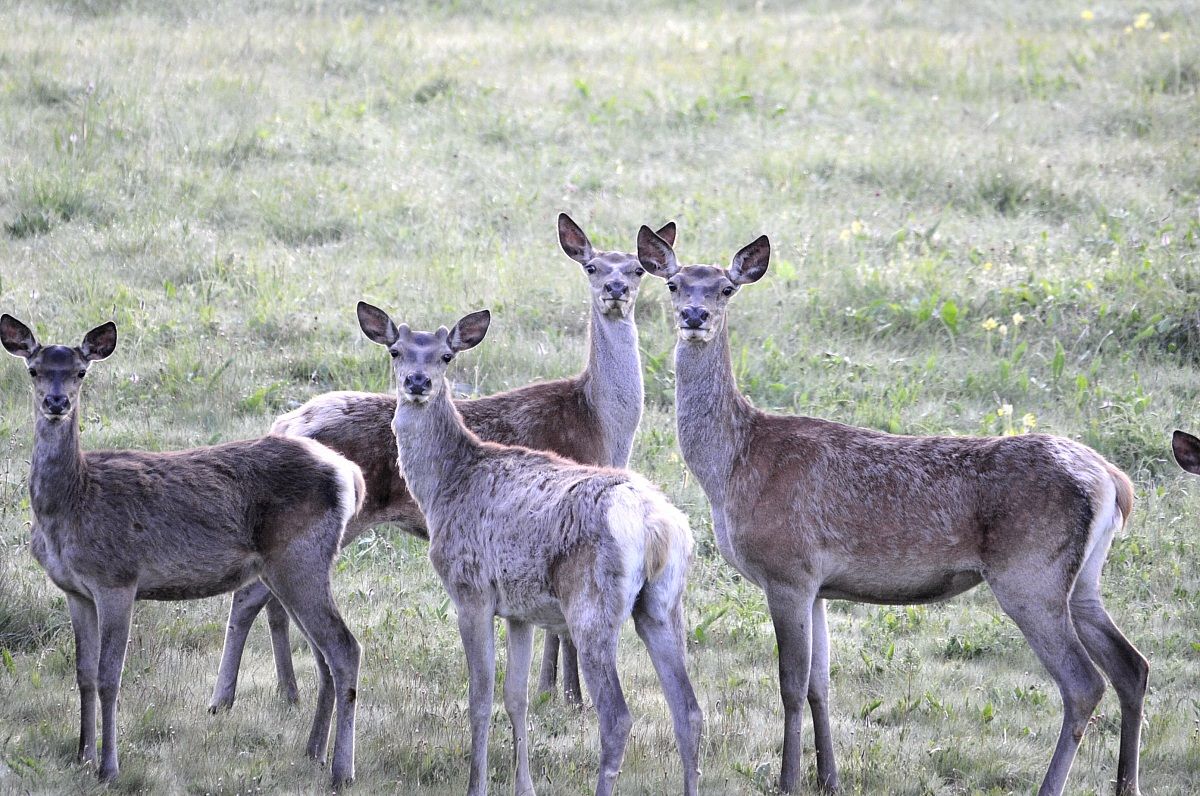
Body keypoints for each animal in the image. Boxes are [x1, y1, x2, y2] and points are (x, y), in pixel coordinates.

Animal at [0, 314, 364, 788]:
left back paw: (342, 771)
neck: (70, 503)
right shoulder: (75, 590)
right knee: (323, 656)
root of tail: (348, 473)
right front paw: (81, 756)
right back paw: (313, 753)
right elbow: (82, 674)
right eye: (34, 370)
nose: (56, 402)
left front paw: (108, 768)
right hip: (290, 568)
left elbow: (109, 676)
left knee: (344, 648)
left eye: (80, 372)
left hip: (299, 558)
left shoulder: (117, 578)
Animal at [208, 214, 675, 712]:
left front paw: (554, 691)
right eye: (591, 267)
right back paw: (223, 698)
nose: (614, 289)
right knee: (249, 596)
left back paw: (287, 692)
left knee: (270, 598)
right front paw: (569, 695)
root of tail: (285, 423)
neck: (599, 421)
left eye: (636, 270)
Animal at [357, 302, 702, 796]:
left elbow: (480, 696)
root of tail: (657, 525)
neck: (444, 488)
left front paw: (476, 785)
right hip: (663, 603)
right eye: (396, 351)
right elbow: (515, 697)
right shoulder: (519, 610)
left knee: (617, 717)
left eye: (446, 356)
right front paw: (525, 786)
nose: (417, 383)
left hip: (592, 604)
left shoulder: (471, 589)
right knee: (688, 711)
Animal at [635, 228, 1148, 796]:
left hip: (1029, 575)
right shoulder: (819, 585)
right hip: (1083, 580)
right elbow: (820, 686)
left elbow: (790, 685)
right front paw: (829, 779)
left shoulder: (787, 570)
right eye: (675, 284)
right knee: (1132, 666)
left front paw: (789, 781)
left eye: (726, 289)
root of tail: (1113, 480)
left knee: (1084, 683)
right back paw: (1127, 783)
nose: (694, 315)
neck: (732, 468)